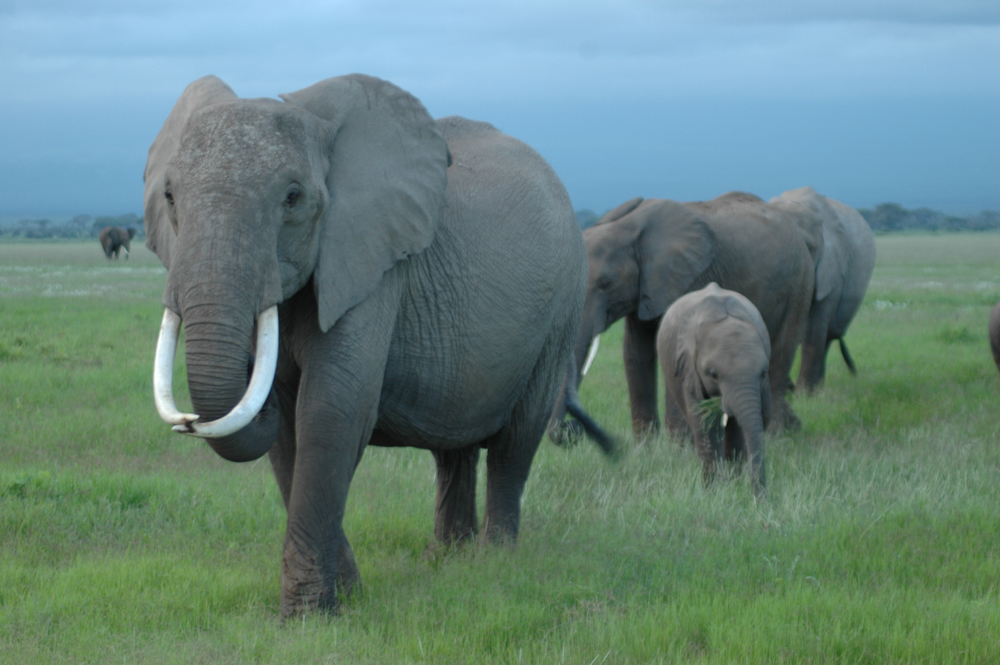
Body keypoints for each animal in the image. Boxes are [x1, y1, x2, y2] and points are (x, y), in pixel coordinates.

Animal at [145, 74, 588, 616]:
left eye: (293, 198)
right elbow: (286, 433)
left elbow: (330, 411)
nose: (189, 420)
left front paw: (309, 617)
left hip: (561, 307)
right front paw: (349, 594)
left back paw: (494, 563)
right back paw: (446, 560)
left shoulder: (372, 263)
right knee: (453, 449)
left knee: (516, 441)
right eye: (169, 195)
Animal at [548, 191, 820, 446]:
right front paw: (645, 448)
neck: (630, 227)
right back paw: (791, 427)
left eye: (606, 283)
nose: (572, 430)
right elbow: (635, 353)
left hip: (799, 284)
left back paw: (776, 434)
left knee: (780, 355)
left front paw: (677, 449)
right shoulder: (645, 287)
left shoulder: (690, 279)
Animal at [656, 282, 772, 496]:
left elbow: (741, 426)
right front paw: (713, 493)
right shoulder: (689, 370)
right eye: (713, 374)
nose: (763, 499)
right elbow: (703, 424)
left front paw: (733, 485)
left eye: (763, 373)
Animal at [764, 187, 876, 392]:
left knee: (827, 337)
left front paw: (803, 394)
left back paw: (816, 388)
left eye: (808, 248)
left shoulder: (832, 266)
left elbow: (814, 327)